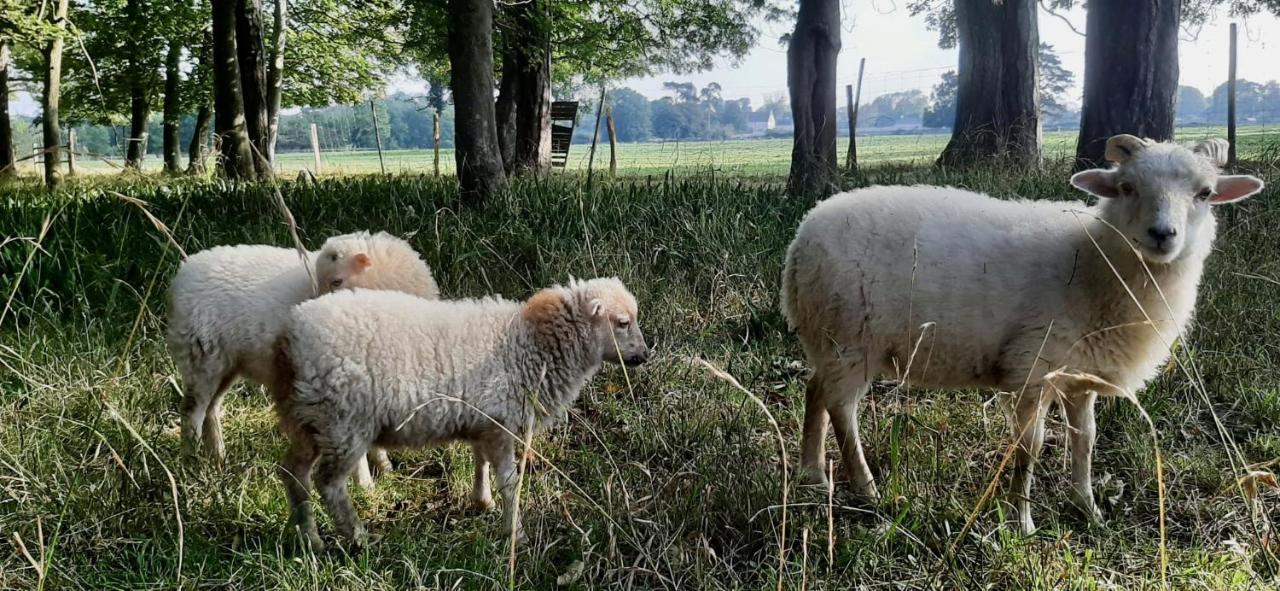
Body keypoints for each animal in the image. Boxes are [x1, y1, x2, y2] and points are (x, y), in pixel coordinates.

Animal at [167, 230, 437, 483]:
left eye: (337, 281)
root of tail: (185, 271)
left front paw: (385, 470)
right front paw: (365, 486)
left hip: (226, 363)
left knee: (211, 410)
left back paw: (217, 459)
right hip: (200, 355)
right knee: (192, 412)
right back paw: (191, 464)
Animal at [271, 277, 650, 550]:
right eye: (622, 322)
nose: (647, 354)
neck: (530, 343)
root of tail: (290, 337)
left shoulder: (485, 422)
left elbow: (480, 463)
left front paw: (482, 502)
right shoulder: (502, 425)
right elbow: (510, 482)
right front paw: (515, 534)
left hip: (309, 420)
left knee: (294, 473)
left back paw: (311, 539)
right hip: (343, 423)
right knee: (329, 483)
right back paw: (357, 538)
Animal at [778, 134, 1259, 534]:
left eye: (1205, 194)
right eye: (1126, 187)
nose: (1163, 235)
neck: (1095, 262)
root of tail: (802, 235)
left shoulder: (1080, 375)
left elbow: (1085, 440)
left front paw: (1088, 509)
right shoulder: (1033, 366)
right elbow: (1030, 447)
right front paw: (1021, 522)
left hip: (828, 340)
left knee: (814, 390)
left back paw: (812, 475)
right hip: (851, 338)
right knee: (841, 409)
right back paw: (866, 489)